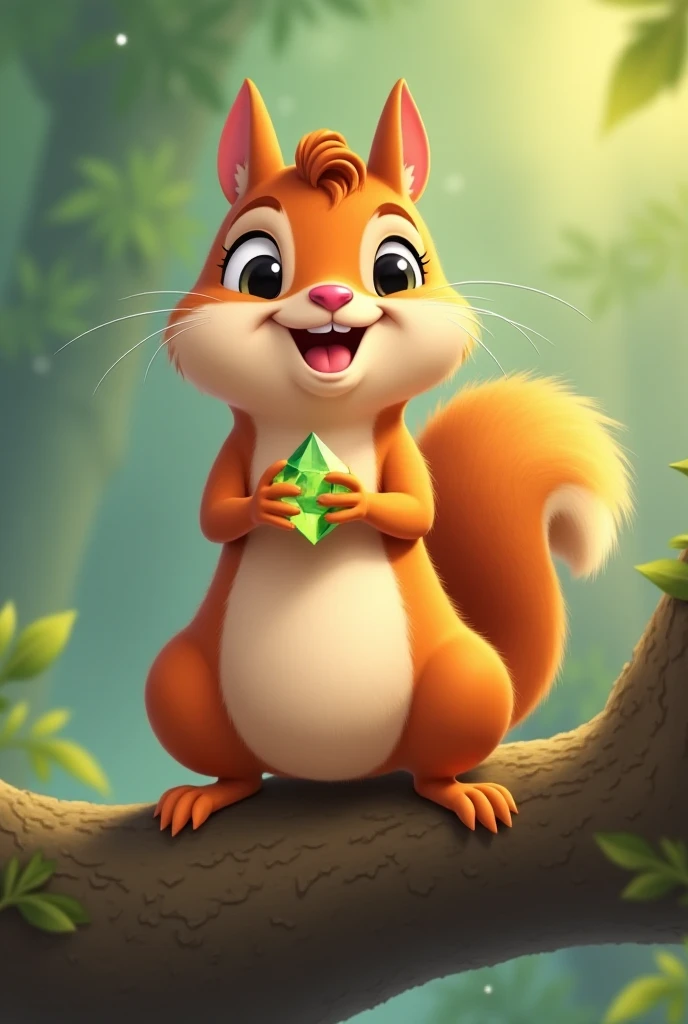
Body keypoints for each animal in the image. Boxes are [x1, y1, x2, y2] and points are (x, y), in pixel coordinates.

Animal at [146, 79, 632, 837]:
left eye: (397, 269)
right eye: (257, 270)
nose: (331, 296)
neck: (321, 416)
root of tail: (339, 770)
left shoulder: (398, 452)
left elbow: (416, 510)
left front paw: (353, 500)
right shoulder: (235, 446)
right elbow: (215, 514)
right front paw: (268, 500)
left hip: (464, 683)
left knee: (436, 763)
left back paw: (458, 792)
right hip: (181, 686)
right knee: (234, 768)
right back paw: (207, 794)